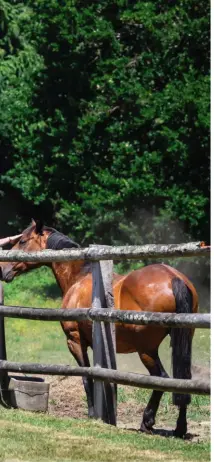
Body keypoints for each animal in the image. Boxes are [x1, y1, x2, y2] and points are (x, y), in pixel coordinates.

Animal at [0, 220, 199, 436]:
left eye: (22, 241)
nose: (2, 269)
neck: (80, 276)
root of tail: (173, 278)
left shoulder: (75, 341)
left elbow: (87, 378)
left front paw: (92, 414)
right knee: (183, 380)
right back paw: (180, 428)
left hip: (146, 350)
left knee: (161, 378)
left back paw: (147, 422)